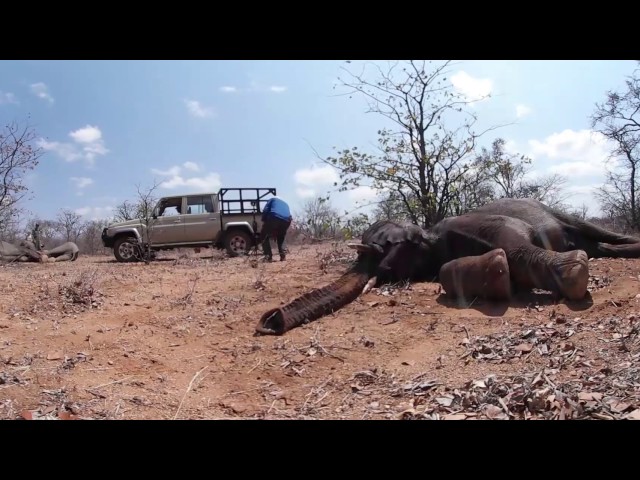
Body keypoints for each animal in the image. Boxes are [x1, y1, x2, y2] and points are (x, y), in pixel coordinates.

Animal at [254, 197, 640, 336]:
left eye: (379, 250)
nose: (268, 322)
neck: (426, 235)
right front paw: (497, 274)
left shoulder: (474, 224)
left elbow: (514, 242)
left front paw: (574, 274)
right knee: (602, 246)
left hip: (560, 213)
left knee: (597, 234)